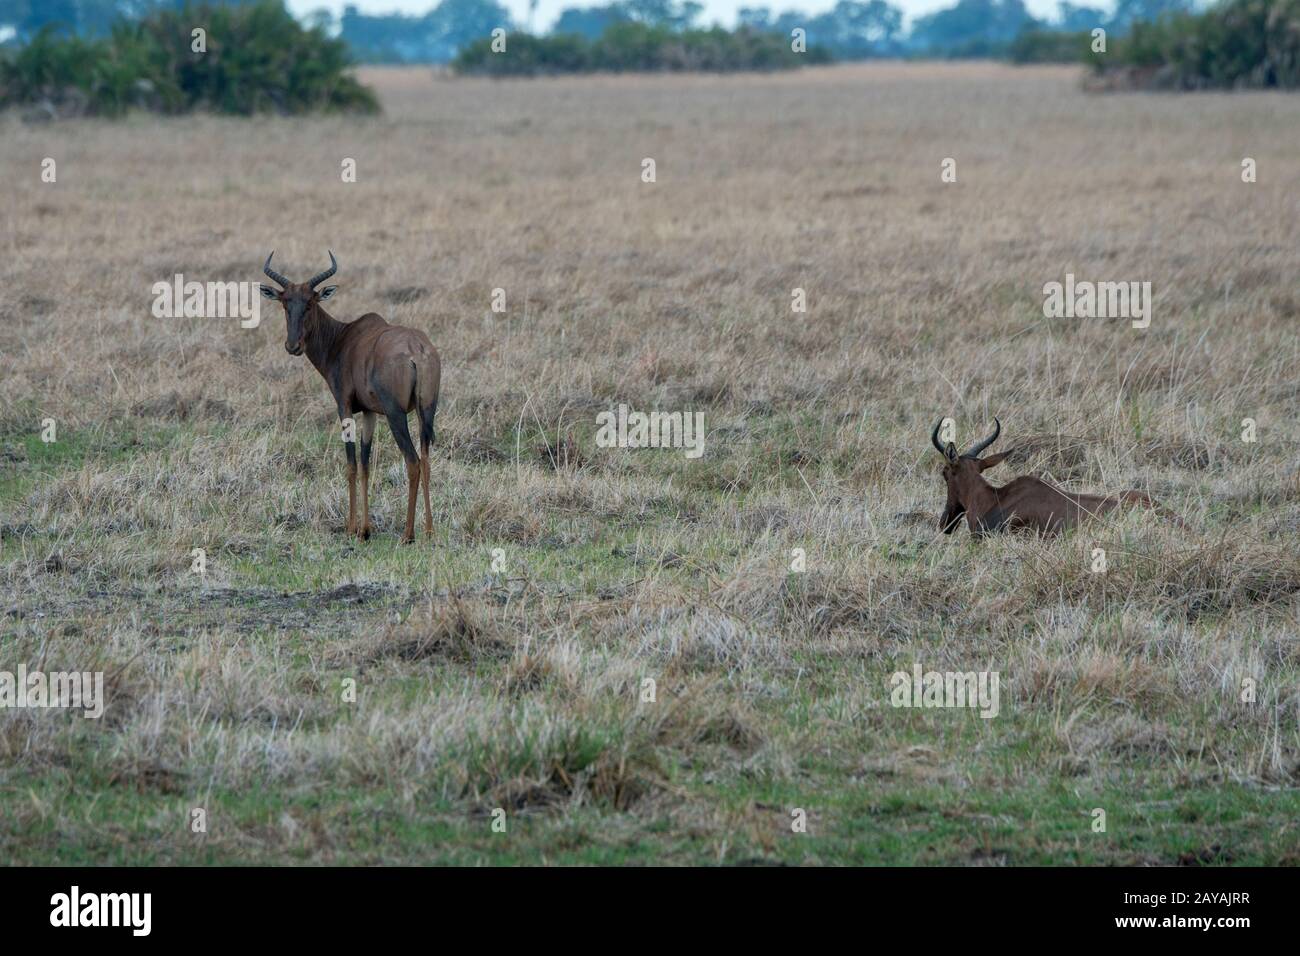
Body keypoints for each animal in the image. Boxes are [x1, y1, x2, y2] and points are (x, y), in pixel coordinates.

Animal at [261, 251, 444, 541]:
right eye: (285, 303)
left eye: (311, 303)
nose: (293, 346)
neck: (344, 338)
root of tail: (418, 350)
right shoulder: (369, 412)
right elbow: (366, 463)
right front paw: (365, 529)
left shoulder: (344, 406)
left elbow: (351, 463)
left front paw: (351, 528)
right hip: (427, 411)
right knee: (426, 459)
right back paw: (428, 530)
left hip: (396, 414)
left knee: (412, 461)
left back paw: (408, 534)